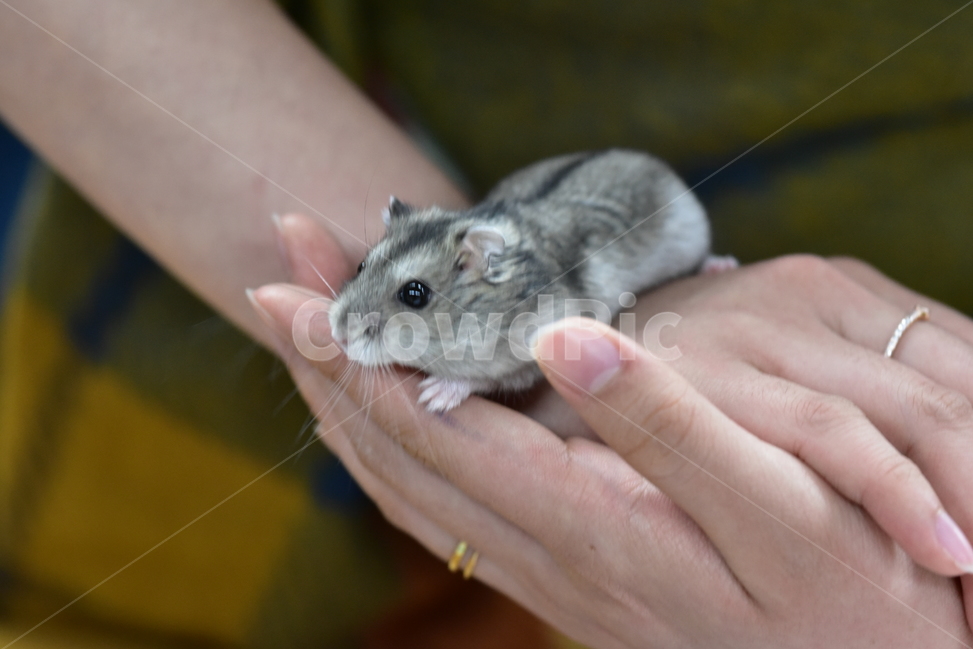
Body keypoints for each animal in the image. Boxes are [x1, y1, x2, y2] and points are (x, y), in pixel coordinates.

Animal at [329, 149, 727, 412]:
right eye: (361, 265)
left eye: (415, 294)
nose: (338, 335)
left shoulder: (533, 352)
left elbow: (490, 378)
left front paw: (434, 396)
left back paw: (718, 265)